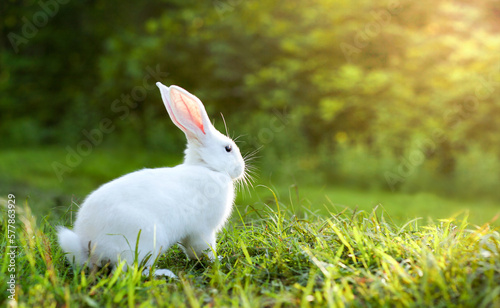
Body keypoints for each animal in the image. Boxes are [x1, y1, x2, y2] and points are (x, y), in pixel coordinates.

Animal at [57, 82, 245, 280]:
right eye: (228, 148)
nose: (241, 168)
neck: (208, 167)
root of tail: (89, 246)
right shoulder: (203, 231)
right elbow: (205, 250)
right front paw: (218, 260)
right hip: (146, 242)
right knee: (132, 270)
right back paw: (165, 274)